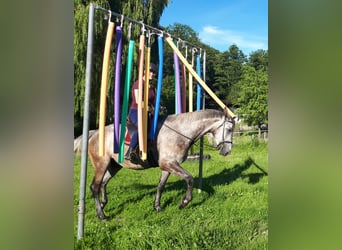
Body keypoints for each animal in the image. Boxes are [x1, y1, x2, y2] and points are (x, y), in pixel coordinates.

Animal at [86, 108, 235, 220]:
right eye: (229, 129)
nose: (227, 151)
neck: (180, 132)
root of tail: (95, 134)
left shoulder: (167, 166)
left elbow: (161, 186)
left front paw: (157, 206)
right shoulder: (168, 164)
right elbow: (189, 178)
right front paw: (184, 202)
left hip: (114, 165)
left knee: (103, 183)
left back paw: (103, 204)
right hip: (101, 164)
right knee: (95, 187)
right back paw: (101, 215)